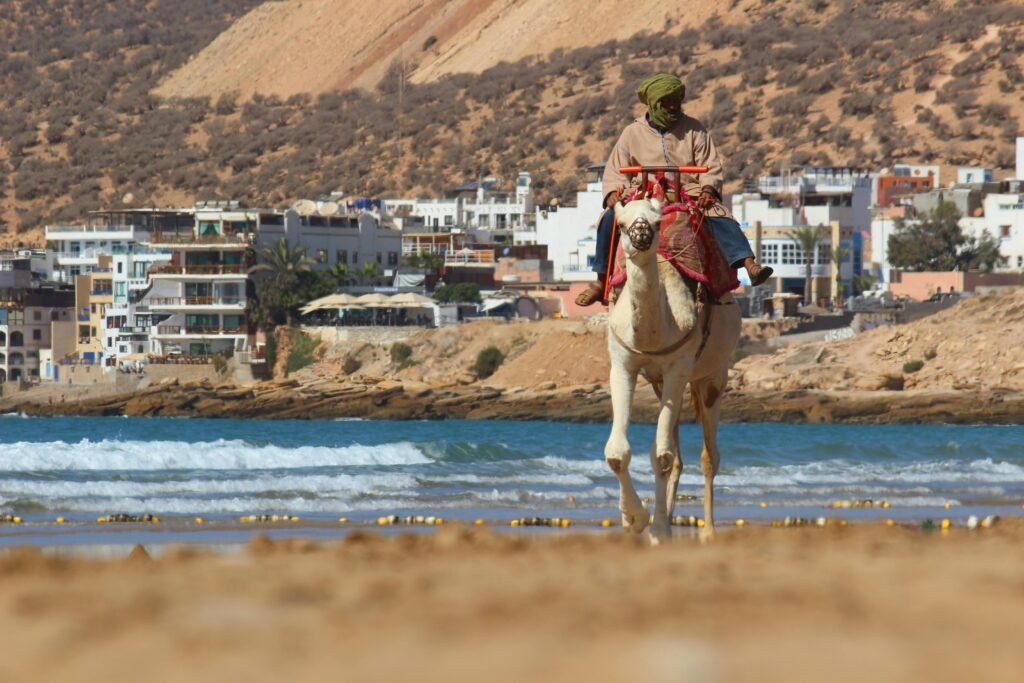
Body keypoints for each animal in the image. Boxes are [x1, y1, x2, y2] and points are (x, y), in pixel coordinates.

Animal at [604, 190, 742, 544]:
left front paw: (656, 529)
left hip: (712, 376)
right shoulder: (623, 365)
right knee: (676, 455)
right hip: (663, 383)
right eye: (621, 224)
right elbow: (620, 453)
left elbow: (662, 457)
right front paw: (634, 520)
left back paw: (707, 531)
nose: (641, 235)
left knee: (709, 456)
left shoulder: (678, 367)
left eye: (656, 222)